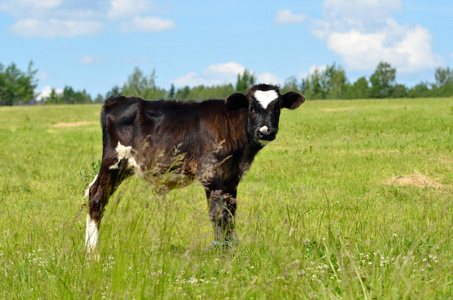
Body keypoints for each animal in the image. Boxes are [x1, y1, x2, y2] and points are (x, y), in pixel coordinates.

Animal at [85, 83, 304, 252]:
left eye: (278, 107)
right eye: (251, 107)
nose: (265, 131)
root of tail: (117, 100)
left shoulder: (232, 178)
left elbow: (230, 213)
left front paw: (230, 250)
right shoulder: (210, 174)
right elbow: (218, 214)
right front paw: (221, 253)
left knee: (91, 190)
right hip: (114, 161)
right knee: (97, 195)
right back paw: (92, 252)